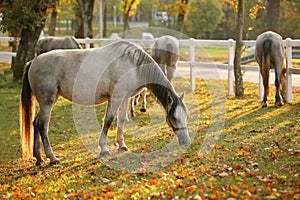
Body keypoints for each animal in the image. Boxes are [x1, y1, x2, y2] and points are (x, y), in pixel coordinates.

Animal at [21, 39, 191, 165]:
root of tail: (33, 62)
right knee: (42, 125)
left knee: (35, 123)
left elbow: (121, 120)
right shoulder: (115, 97)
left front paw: (122, 145)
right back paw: (52, 157)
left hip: (48, 101)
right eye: (174, 117)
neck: (133, 63)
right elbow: (108, 120)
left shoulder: (125, 98)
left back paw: (39, 158)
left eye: (185, 117)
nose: (186, 141)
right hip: (48, 101)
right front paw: (104, 149)